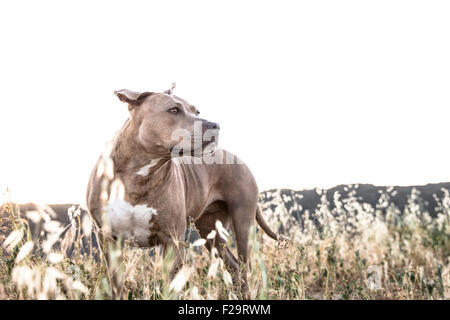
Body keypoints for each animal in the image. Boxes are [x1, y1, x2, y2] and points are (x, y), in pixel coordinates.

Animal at [85, 85, 278, 298]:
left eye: (196, 112)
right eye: (173, 110)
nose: (215, 125)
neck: (140, 173)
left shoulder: (172, 239)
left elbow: (171, 286)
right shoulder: (107, 237)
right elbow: (117, 284)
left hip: (243, 223)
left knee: (245, 267)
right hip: (211, 230)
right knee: (234, 265)